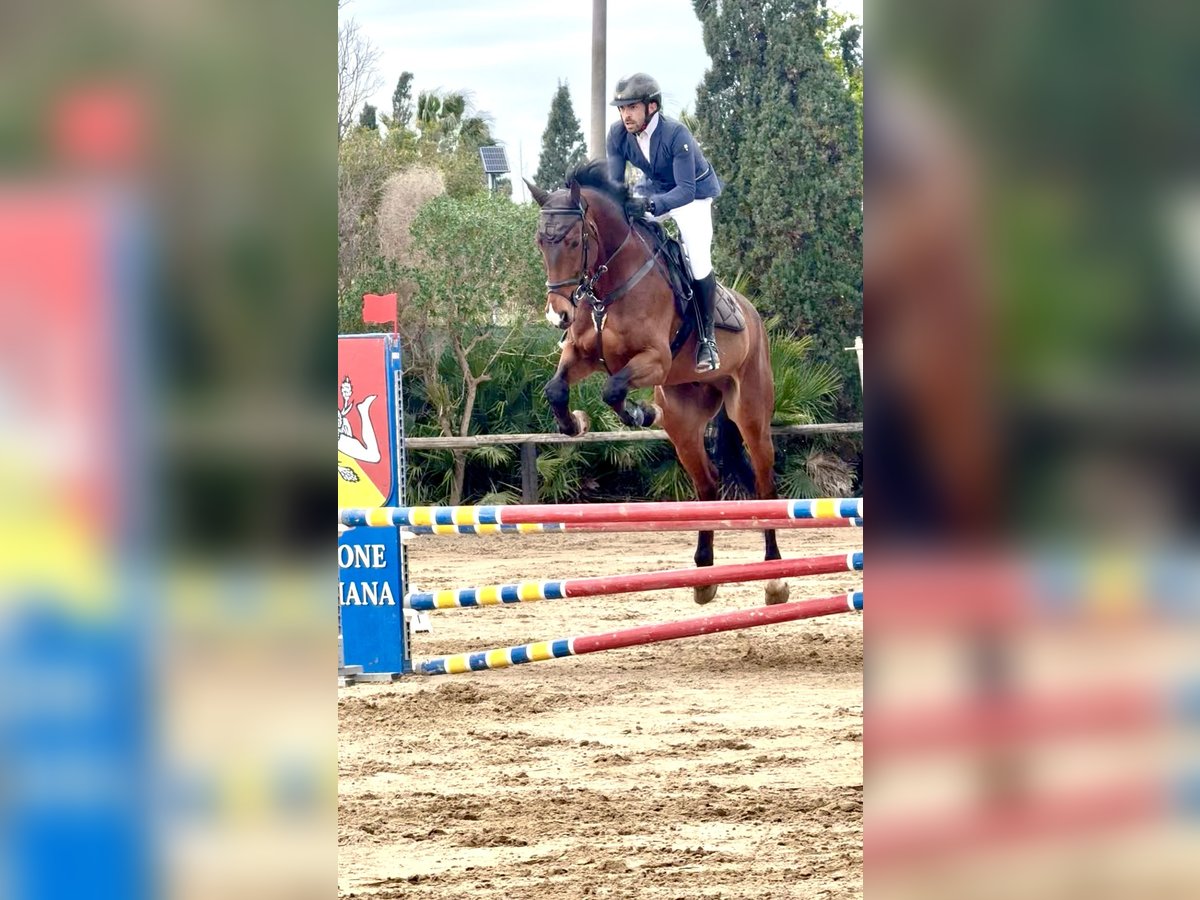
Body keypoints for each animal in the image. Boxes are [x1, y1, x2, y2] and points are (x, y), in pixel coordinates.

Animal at [526, 160, 788, 606]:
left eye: (575, 240)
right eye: (541, 242)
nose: (558, 316)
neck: (609, 288)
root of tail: (753, 314)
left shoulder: (653, 359)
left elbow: (613, 389)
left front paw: (639, 412)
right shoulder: (582, 355)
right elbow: (557, 389)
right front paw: (576, 422)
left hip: (750, 412)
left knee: (765, 484)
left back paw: (774, 577)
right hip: (683, 422)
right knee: (708, 485)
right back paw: (704, 577)